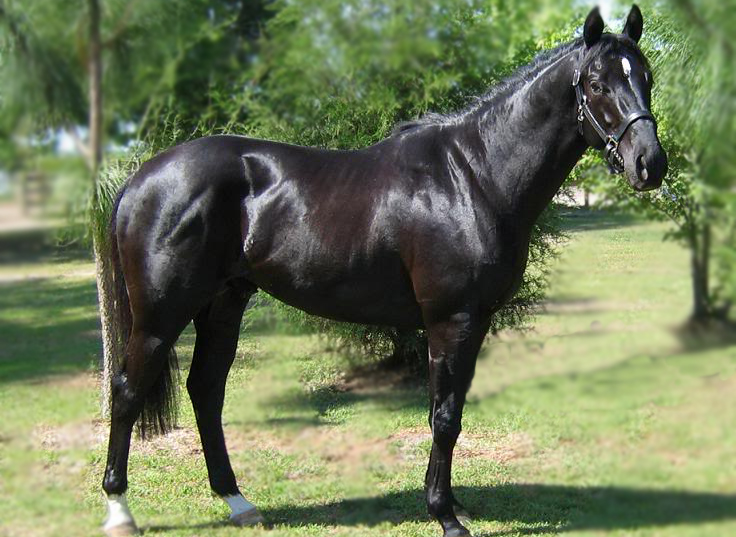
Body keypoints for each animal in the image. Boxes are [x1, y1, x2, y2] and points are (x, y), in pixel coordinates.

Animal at [101, 6, 667, 537]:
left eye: (646, 76)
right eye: (597, 84)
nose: (650, 164)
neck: (474, 176)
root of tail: (140, 180)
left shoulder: (474, 322)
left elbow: (452, 410)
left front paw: (450, 502)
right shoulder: (451, 321)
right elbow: (444, 417)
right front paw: (446, 516)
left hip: (223, 303)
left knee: (206, 390)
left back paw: (238, 502)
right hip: (160, 315)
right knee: (127, 391)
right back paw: (119, 510)